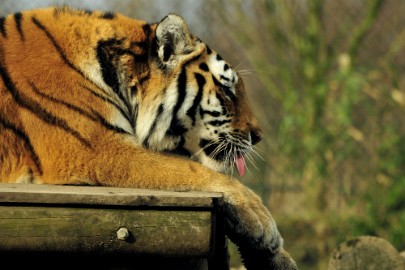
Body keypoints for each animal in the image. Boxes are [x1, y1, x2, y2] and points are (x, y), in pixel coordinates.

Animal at [0, 6, 296, 270]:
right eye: (227, 91)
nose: (258, 136)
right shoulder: (95, 150)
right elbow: (195, 171)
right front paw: (263, 225)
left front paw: (276, 257)